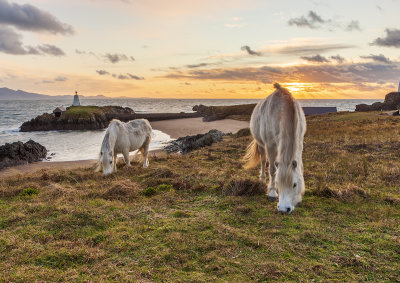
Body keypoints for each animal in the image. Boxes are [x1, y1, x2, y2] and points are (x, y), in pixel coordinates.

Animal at [244, 83, 306, 214]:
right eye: (277, 183)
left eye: (294, 184)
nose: (283, 209)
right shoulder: (270, 146)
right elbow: (272, 170)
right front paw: (272, 193)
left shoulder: (300, 143)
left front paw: (299, 199)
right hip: (261, 145)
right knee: (263, 161)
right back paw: (262, 180)